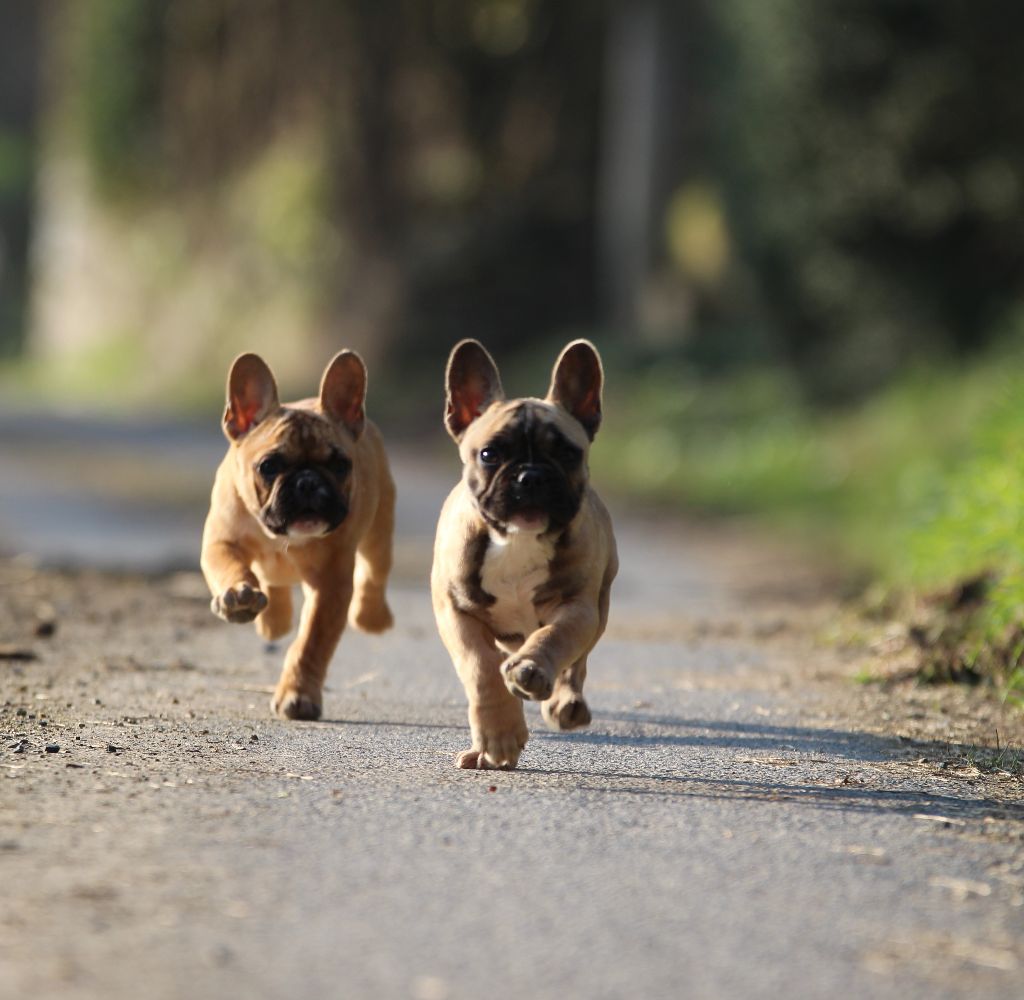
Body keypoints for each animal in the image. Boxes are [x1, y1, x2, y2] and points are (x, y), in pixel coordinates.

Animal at [200, 352, 395, 716]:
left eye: (340, 465)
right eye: (269, 466)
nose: (307, 481)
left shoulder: (331, 586)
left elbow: (311, 644)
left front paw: (299, 694)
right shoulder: (222, 542)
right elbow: (230, 567)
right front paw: (238, 596)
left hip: (380, 533)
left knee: (374, 575)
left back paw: (370, 617)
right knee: (272, 583)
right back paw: (270, 618)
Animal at [430, 339, 614, 769]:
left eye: (568, 454)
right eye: (489, 454)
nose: (531, 476)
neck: (516, 540)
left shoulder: (577, 607)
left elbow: (555, 637)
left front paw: (533, 669)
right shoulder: (455, 612)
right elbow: (480, 669)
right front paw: (498, 735)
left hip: (599, 606)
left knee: (576, 662)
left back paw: (563, 701)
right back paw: (481, 751)